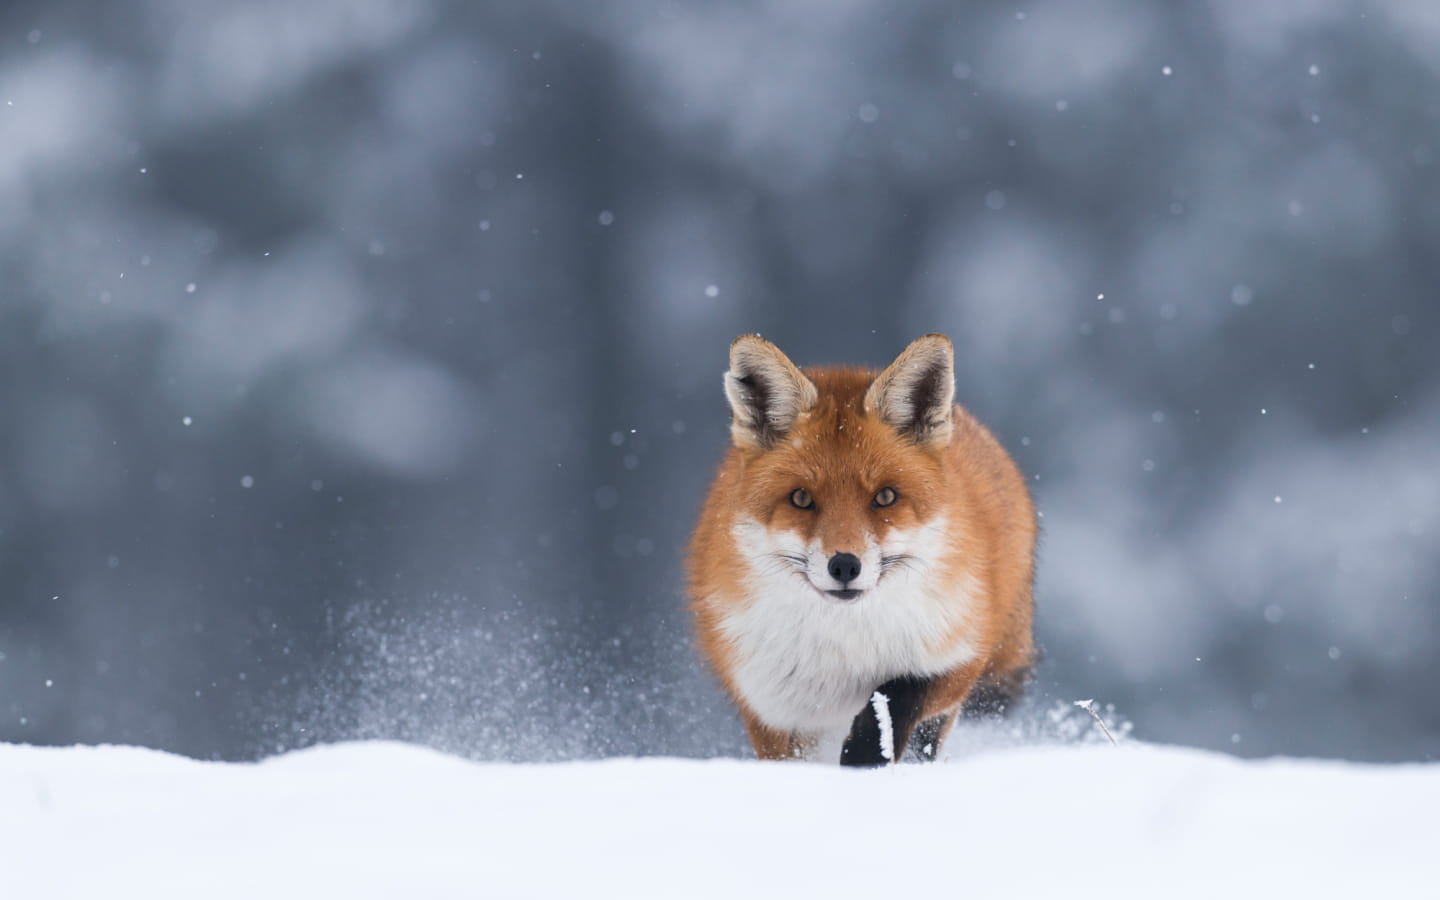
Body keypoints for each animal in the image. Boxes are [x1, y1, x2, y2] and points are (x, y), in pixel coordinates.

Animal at [685, 334, 1036, 760]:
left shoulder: (961, 652)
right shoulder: (770, 709)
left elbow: (895, 698)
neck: (845, 650)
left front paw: (864, 758)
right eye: (801, 499)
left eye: (885, 497)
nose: (844, 566)